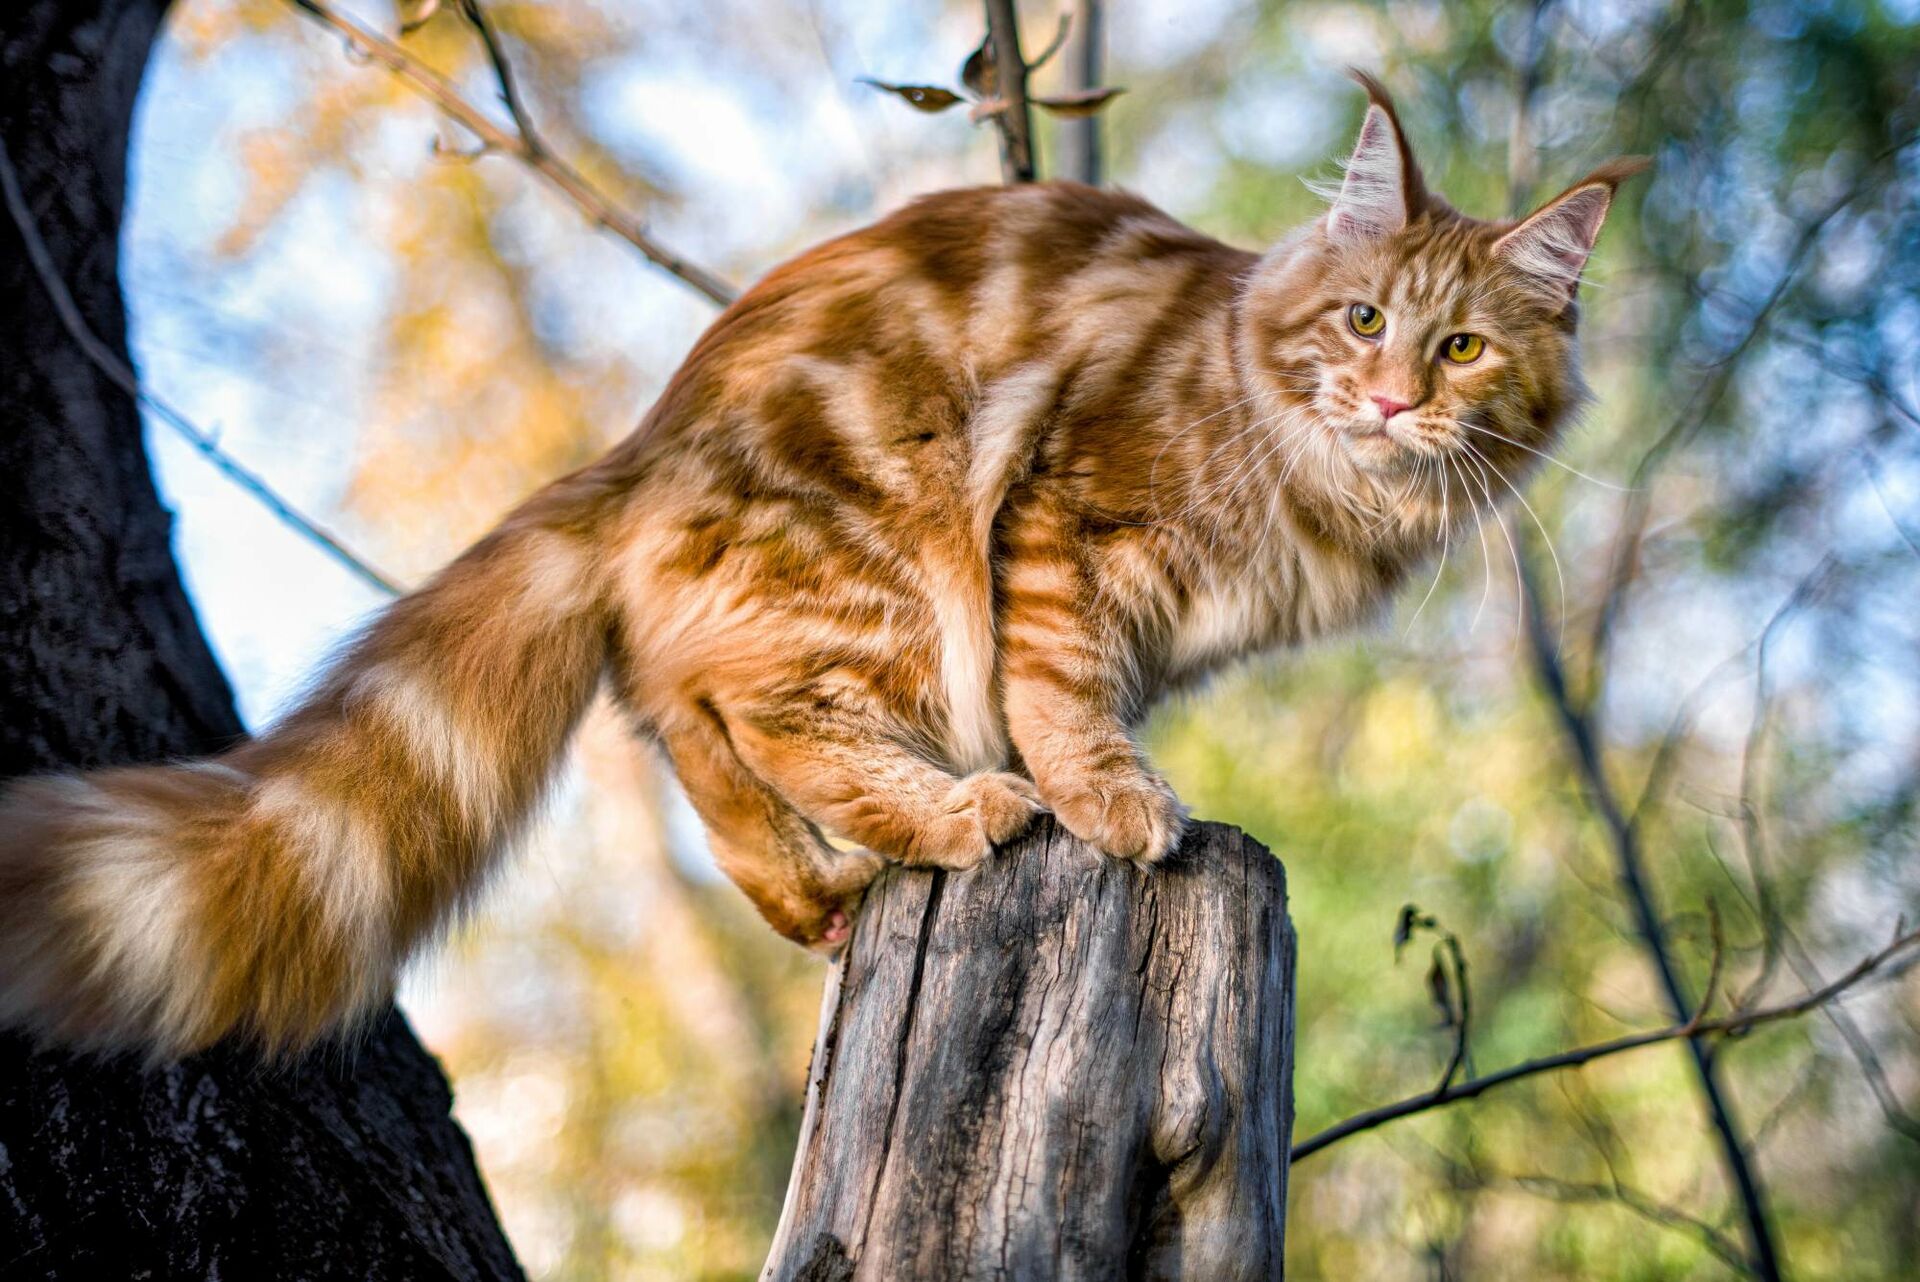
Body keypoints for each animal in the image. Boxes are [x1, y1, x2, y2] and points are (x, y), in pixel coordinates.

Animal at [3, 77, 1651, 1059]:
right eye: (1365, 320)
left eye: (1461, 348)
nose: (1393, 401)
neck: (1321, 480)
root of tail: (638, 448)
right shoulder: (1067, 522)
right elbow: (1065, 695)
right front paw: (1110, 804)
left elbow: (1079, 698)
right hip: (879, 555)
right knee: (760, 711)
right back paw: (962, 814)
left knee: (693, 730)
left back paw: (817, 891)